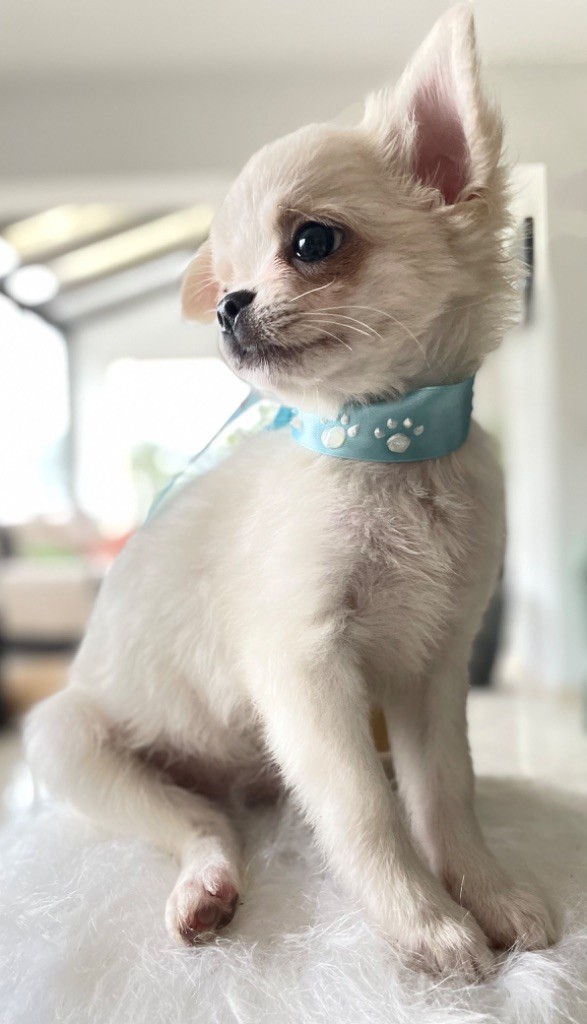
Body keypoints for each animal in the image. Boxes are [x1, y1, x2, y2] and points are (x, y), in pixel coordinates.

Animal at [25, 4, 556, 978]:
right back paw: (205, 888)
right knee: (202, 826)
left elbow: (443, 796)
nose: (227, 304)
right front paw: (424, 925)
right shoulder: (305, 669)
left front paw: (488, 894)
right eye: (230, 270)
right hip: (71, 743)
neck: (387, 448)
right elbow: (365, 811)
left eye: (312, 242)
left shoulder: (432, 670)